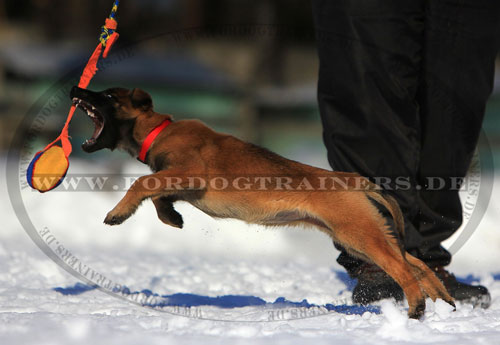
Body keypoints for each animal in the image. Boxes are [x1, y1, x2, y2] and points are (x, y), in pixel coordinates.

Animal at [68, 85, 456, 318]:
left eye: (107, 96)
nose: (75, 89)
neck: (159, 130)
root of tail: (352, 180)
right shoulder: (179, 181)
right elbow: (158, 196)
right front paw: (172, 218)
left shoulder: (190, 172)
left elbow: (143, 182)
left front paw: (118, 212)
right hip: (359, 237)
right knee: (414, 263)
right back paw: (443, 301)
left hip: (359, 234)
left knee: (403, 268)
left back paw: (418, 308)